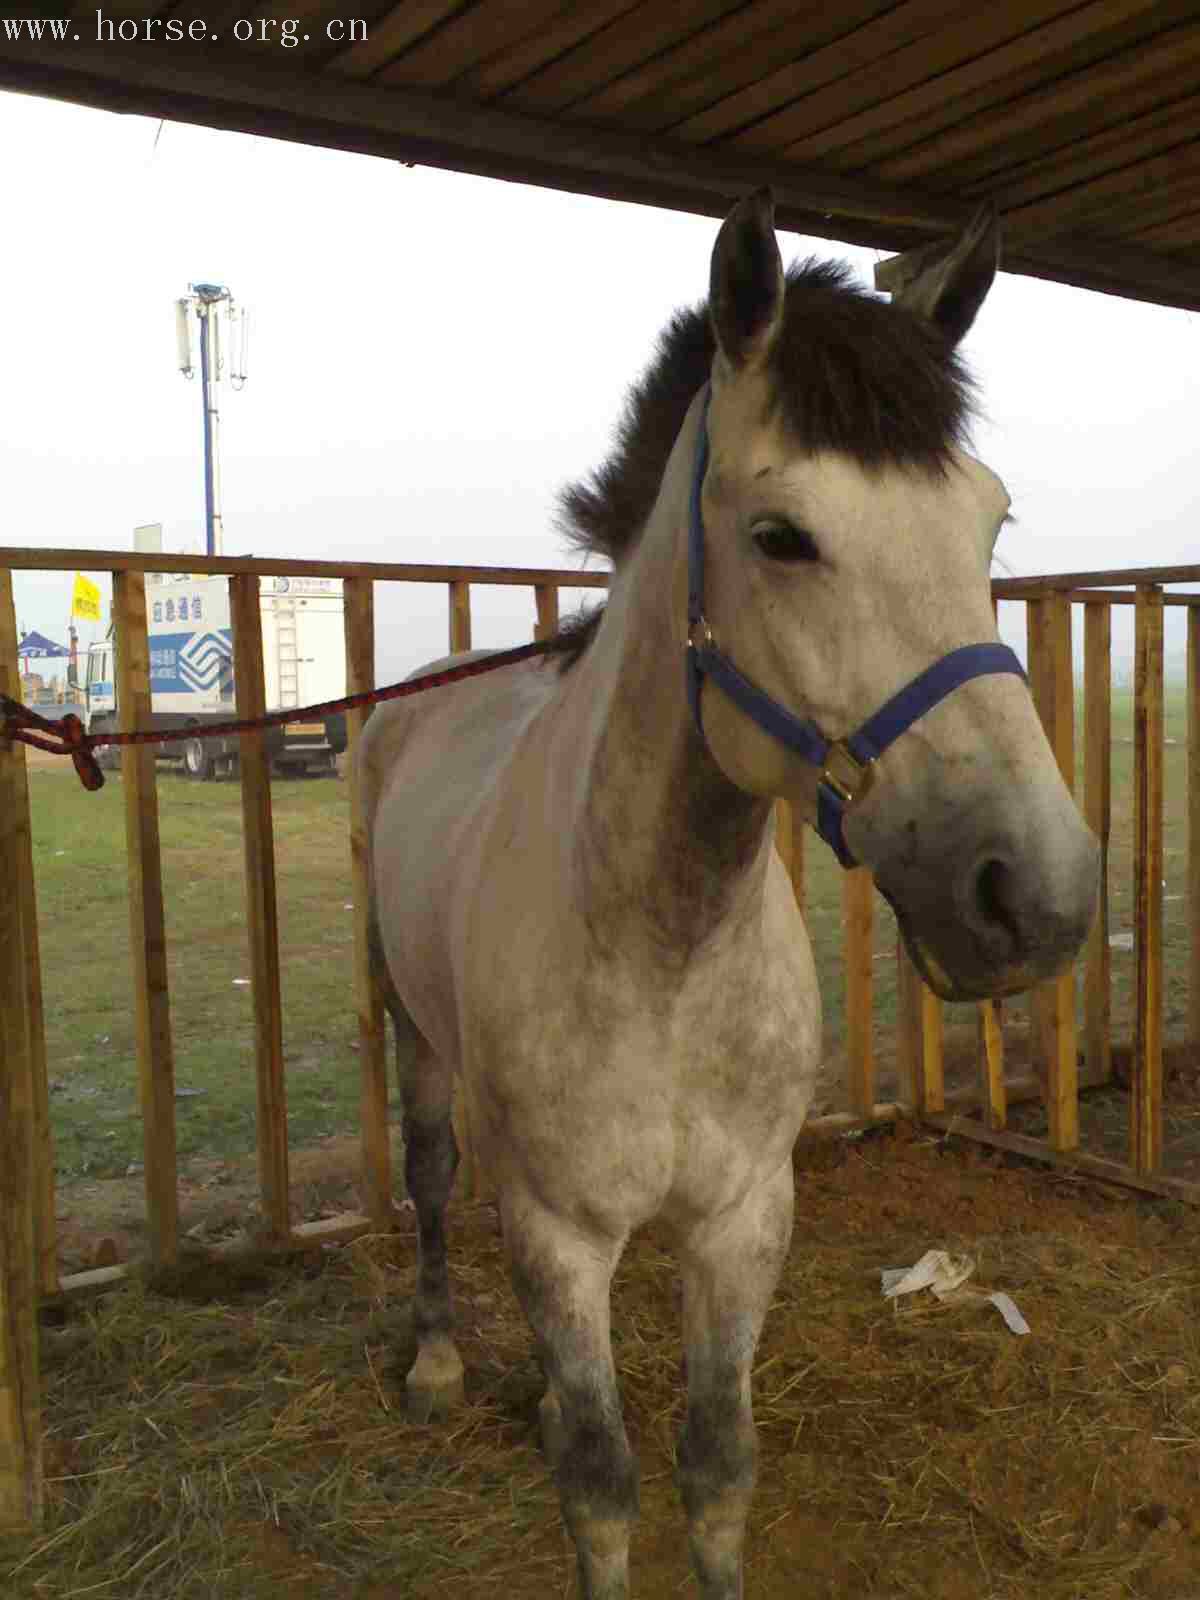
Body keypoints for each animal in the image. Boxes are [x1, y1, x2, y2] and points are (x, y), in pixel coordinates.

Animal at [361, 196, 1107, 1600]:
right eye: (782, 538)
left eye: (989, 523)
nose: (1032, 894)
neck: (663, 945)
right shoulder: (559, 1234)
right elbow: (602, 1492)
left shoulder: (745, 1219)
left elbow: (716, 1471)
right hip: (409, 1028)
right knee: (430, 1178)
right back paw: (433, 1360)